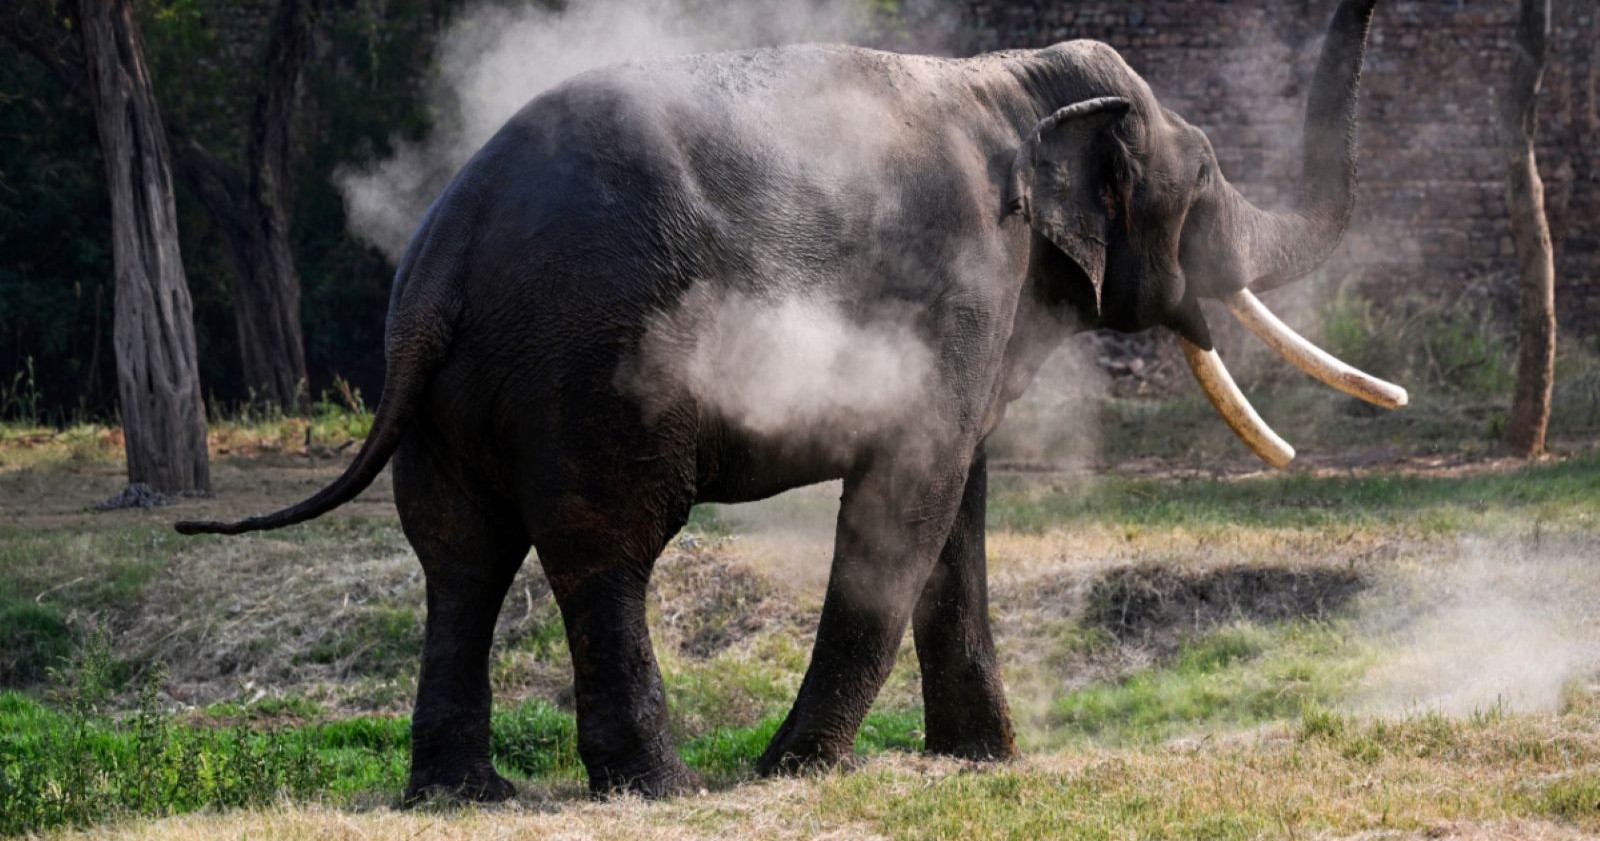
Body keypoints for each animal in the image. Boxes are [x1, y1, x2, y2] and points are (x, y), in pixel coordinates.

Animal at [178, 0, 1405, 802]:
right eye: (1205, 180)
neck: (1008, 75)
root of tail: (443, 260)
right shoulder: (958, 280)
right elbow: (908, 497)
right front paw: (799, 771)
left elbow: (955, 504)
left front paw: (979, 762)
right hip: (598, 367)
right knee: (604, 547)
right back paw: (659, 789)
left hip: (456, 396)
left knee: (458, 554)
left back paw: (466, 795)